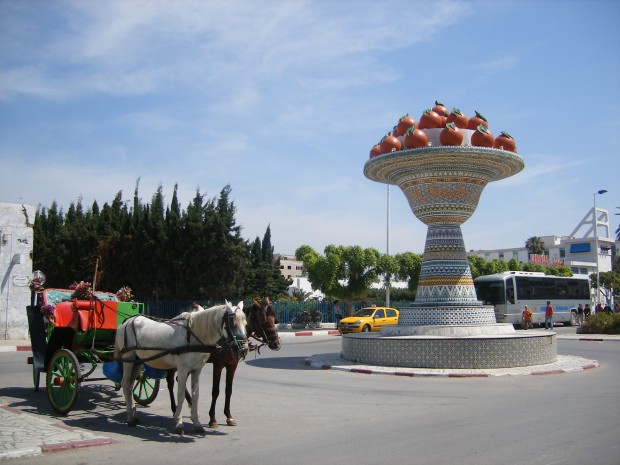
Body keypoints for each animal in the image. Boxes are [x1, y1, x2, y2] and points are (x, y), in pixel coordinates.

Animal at [115, 300, 246, 434]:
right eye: (232, 323)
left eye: (245, 323)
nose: (244, 349)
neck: (194, 335)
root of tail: (126, 322)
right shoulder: (183, 369)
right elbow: (181, 394)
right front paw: (179, 423)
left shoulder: (197, 369)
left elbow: (195, 395)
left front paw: (196, 422)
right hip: (128, 359)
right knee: (126, 384)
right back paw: (130, 418)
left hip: (138, 361)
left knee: (130, 386)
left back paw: (133, 414)